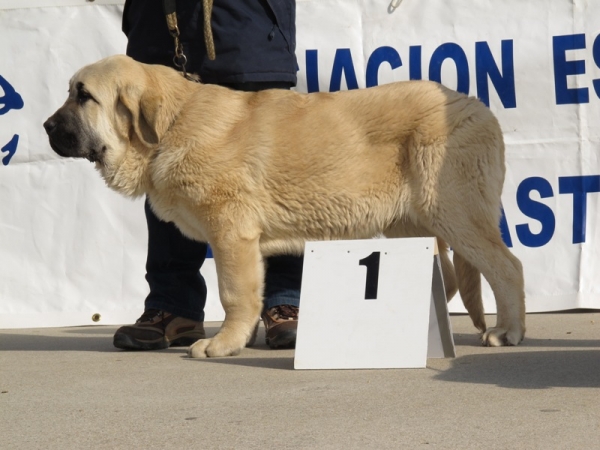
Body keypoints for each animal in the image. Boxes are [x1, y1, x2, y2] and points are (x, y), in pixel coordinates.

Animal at [44, 54, 524, 356]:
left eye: (84, 96)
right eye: (70, 92)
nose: (46, 125)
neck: (172, 126)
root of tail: (479, 106)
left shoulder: (230, 233)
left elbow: (234, 293)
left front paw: (224, 345)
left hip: (454, 211)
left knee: (506, 267)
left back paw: (508, 331)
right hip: (413, 224)